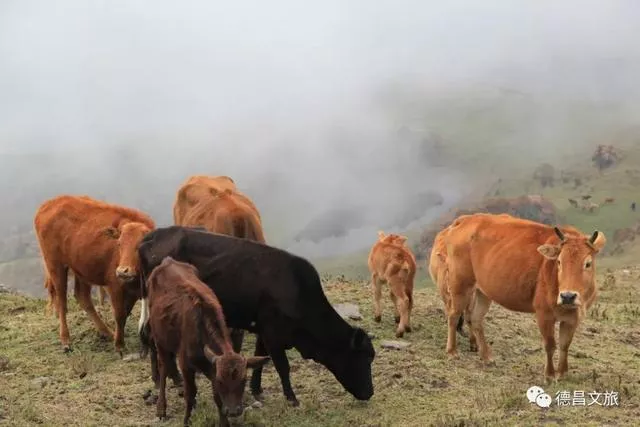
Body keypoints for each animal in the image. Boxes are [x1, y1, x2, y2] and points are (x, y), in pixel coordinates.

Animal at [34, 196, 155, 352]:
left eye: (139, 246)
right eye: (119, 244)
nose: (122, 271)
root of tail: (50, 203)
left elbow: (127, 313)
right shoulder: (114, 287)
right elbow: (120, 315)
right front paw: (119, 344)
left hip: (81, 270)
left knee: (82, 297)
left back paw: (106, 332)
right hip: (56, 266)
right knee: (62, 301)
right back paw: (66, 340)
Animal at [136, 227, 376, 408]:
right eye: (363, 358)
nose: (369, 393)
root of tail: (151, 237)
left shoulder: (263, 329)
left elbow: (261, 358)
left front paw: (256, 388)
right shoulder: (272, 333)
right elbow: (282, 366)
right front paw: (292, 398)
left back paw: (161, 378)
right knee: (154, 339)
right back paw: (171, 379)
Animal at [144, 258, 272, 427]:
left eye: (244, 380)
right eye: (221, 380)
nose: (234, 411)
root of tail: (168, 261)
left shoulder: (212, 367)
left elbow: (217, 397)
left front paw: (224, 422)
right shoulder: (186, 365)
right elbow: (190, 393)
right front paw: (187, 420)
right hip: (159, 340)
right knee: (164, 367)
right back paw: (161, 408)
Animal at [440, 214, 604, 384]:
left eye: (588, 263)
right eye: (559, 262)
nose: (568, 296)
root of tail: (466, 219)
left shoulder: (573, 318)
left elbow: (565, 345)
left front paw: (562, 373)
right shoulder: (543, 314)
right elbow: (550, 344)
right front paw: (549, 375)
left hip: (483, 292)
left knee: (476, 319)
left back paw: (486, 356)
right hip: (460, 285)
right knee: (453, 315)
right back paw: (452, 351)